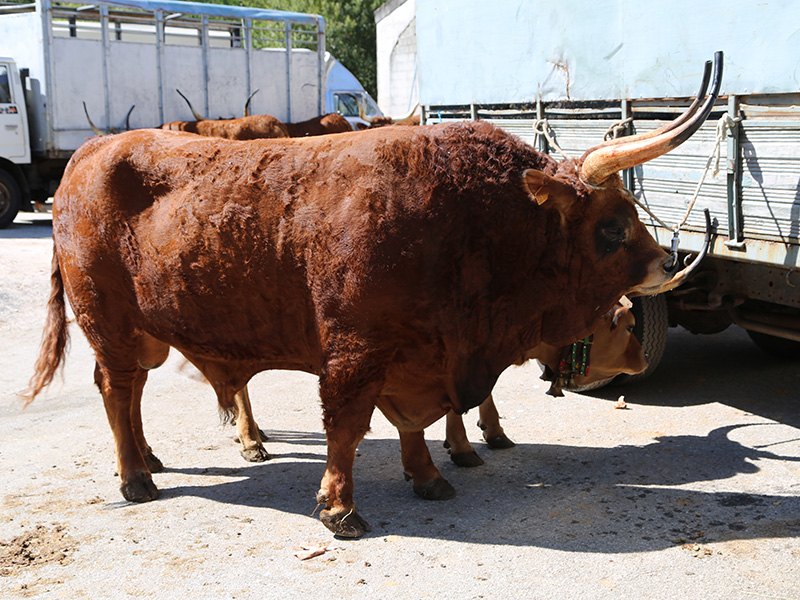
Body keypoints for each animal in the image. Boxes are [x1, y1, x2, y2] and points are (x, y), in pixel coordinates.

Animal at [28, 52, 720, 540]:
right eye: (613, 226)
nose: (668, 259)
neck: (470, 218)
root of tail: (92, 150)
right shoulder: (355, 352)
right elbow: (348, 427)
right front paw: (340, 508)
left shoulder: (421, 357)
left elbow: (416, 424)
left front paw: (429, 475)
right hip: (109, 323)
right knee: (116, 390)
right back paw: (135, 477)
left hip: (143, 333)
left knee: (132, 392)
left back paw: (148, 457)